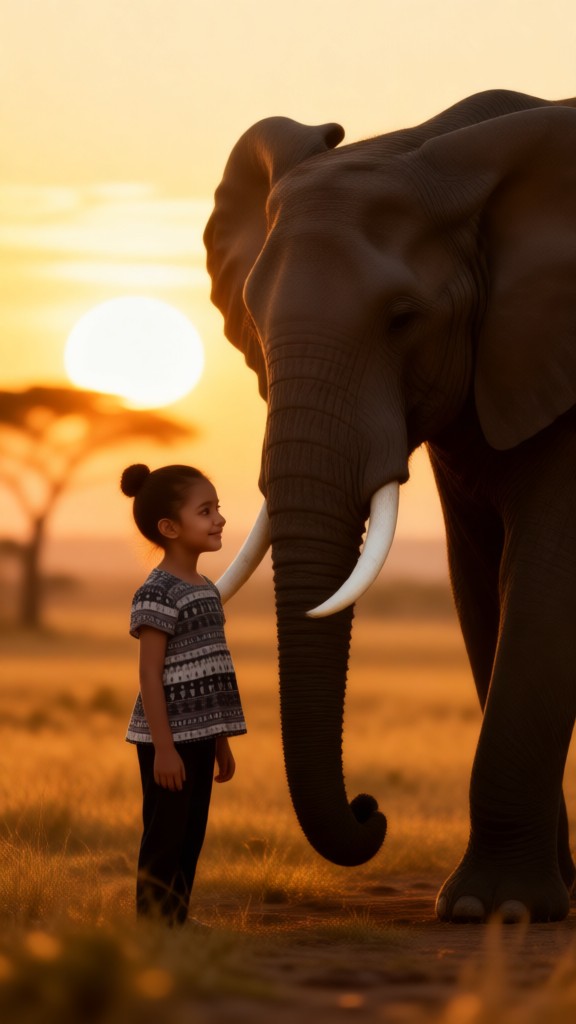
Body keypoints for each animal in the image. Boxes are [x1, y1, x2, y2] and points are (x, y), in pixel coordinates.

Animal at [204, 89, 576, 923]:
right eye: (254, 320)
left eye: (404, 318)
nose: (372, 809)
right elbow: (482, 588)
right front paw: (533, 903)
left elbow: (545, 582)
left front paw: (494, 913)